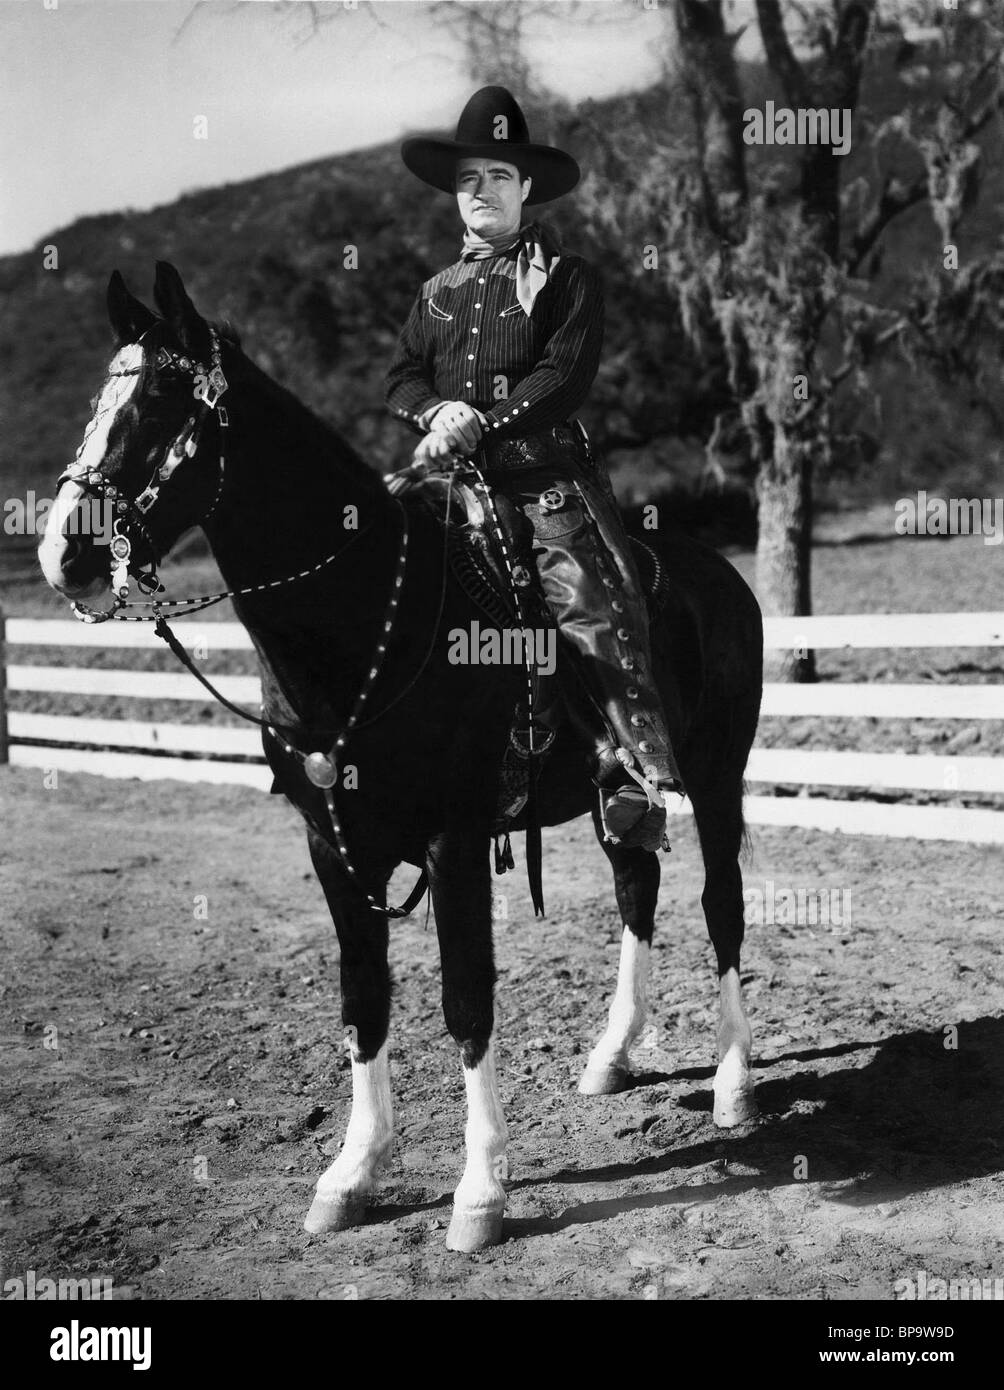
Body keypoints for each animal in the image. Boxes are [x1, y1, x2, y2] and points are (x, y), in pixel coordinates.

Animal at [39, 261, 756, 1251]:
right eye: (98, 404)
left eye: (156, 406)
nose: (60, 554)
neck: (374, 613)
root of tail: (719, 574)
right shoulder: (334, 846)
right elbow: (362, 998)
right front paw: (353, 1174)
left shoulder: (454, 841)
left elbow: (465, 998)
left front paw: (480, 1193)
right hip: (619, 789)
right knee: (636, 892)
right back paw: (611, 1057)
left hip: (718, 778)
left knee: (721, 907)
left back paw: (733, 1086)